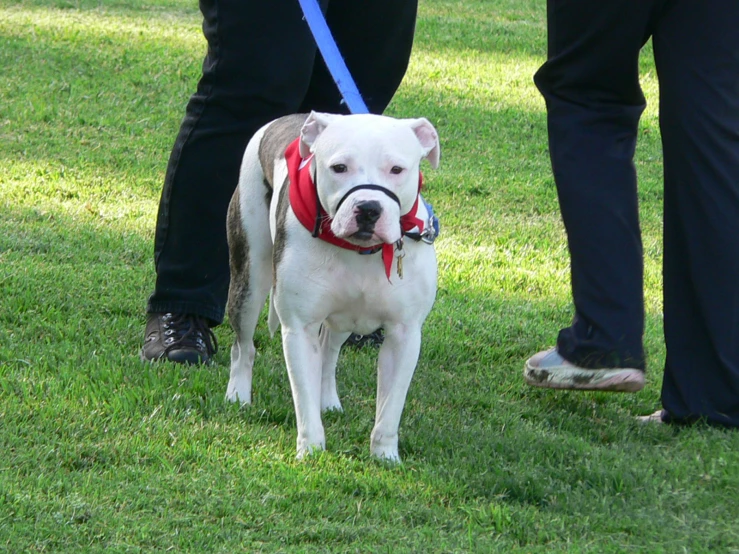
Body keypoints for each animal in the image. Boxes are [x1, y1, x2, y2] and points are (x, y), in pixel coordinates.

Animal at [225, 110, 440, 460]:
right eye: (339, 168)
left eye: (396, 169)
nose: (368, 208)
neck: (361, 251)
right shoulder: (299, 329)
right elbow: (304, 397)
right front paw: (310, 450)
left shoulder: (404, 334)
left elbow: (390, 409)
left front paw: (385, 456)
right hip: (249, 281)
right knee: (243, 347)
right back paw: (238, 395)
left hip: (343, 319)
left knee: (329, 353)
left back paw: (328, 401)